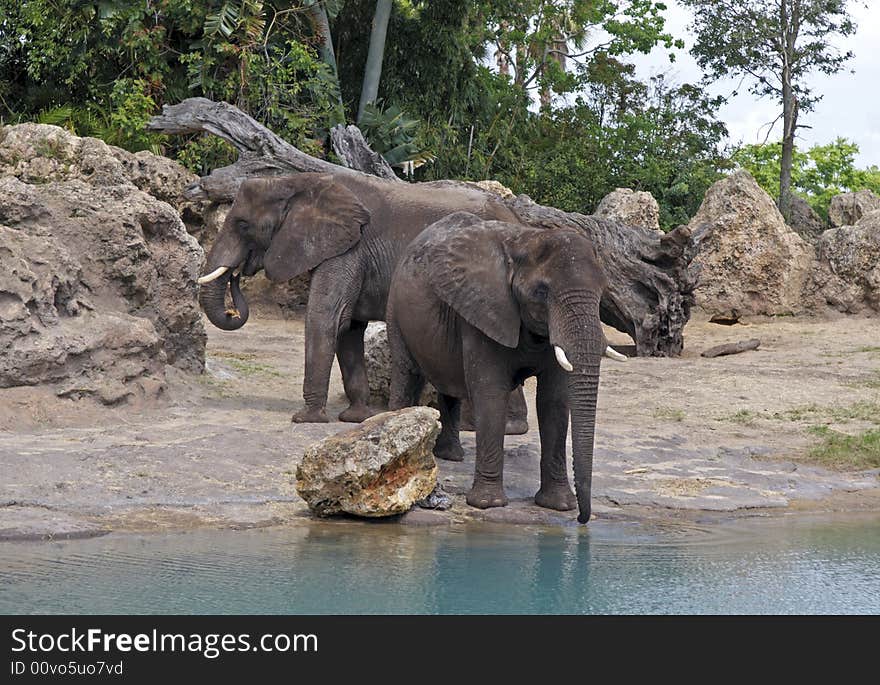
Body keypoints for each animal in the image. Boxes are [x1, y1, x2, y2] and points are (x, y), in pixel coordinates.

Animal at [198, 172, 528, 428]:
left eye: (243, 225)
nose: (237, 275)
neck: (296, 182)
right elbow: (348, 329)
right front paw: (355, 418)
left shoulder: (349, 249)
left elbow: (326, 318)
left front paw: (306, 419)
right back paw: (511, 426)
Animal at [386, 211, 624, 520]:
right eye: (542, 292)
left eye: (602, 290)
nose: (582, 519)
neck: (526, 239)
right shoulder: (484, 310)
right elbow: (491, 394)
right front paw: (488, 504)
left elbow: (554, 401)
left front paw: (559, 506)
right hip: (396, 306)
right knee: (406, 374)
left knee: (447, 386)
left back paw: (451, 456)